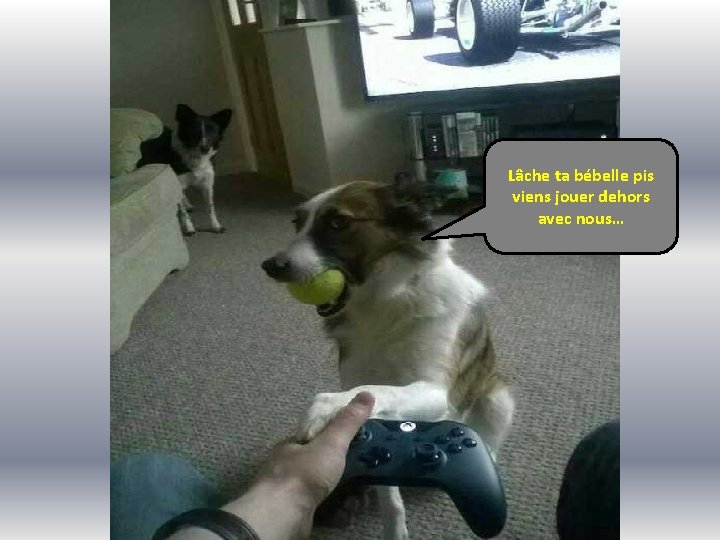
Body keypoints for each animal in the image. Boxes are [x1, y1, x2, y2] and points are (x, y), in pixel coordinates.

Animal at [139, 104, 232, 235]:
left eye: (213, 132)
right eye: (194, 132)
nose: (205, 148)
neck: (196, 157)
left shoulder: (207, 184)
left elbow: (210, 208)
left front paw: (216, 226)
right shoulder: (176, 183)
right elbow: (182, 210)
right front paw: (189, 228)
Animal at [262, 174, 514, 539]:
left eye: (338, 222)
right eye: (297, 223)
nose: (270, 266)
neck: (384, 302)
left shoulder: (436, 391)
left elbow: (372, 391)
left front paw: (323, 406)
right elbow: (386, 483)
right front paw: (393, 528)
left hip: (497, 397)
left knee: (490, 439)